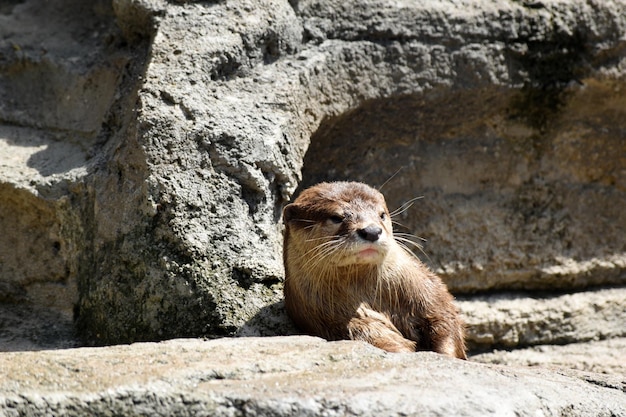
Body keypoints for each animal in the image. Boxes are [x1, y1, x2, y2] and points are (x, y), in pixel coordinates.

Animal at [282, 180, 464, 360]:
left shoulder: (429, 295)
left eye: (381, 214)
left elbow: (445, 321)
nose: (371, 231)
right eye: (336, 217)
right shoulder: (338, 323)